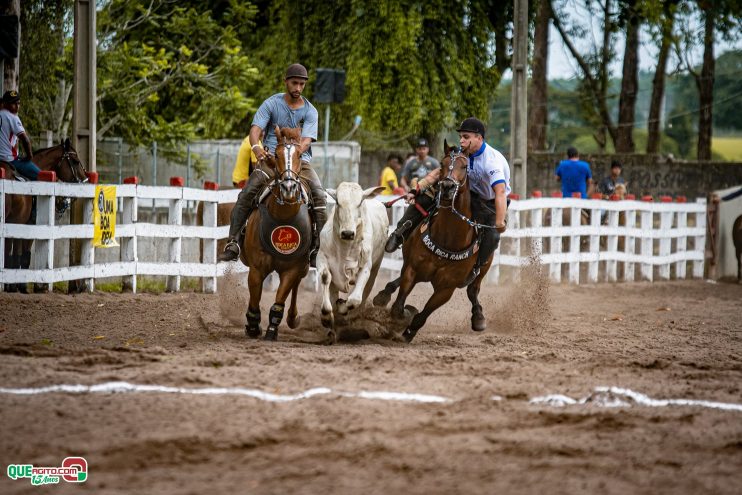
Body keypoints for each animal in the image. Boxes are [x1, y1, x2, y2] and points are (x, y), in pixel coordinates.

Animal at [2, 138, 87, 292]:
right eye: (76, 161)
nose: (85, 181)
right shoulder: (26, 227)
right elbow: (21, 256)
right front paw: (18, 287)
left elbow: (15, 255)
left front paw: (13, 286)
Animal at [318, 183, 390, 344]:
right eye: (337, 202)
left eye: (359, 202)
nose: (347, 233)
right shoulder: (322, 258)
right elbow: (325, 278)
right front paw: (327, 318)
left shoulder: (365, 268)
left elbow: (354, 300)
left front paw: (342, 306)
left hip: (375, 269)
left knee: (361, 299)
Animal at [372, 142, 488, 344]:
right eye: (442, 164)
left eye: (465, 166)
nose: (448, 186)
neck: (448, 238)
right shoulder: (413, 269)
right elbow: (398, 305)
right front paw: (402, 316)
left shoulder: (446, 288)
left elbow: (423, 315)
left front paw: (409, 331)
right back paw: (383, 295)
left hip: (483, 268)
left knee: (473, 290)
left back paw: (478, 317)